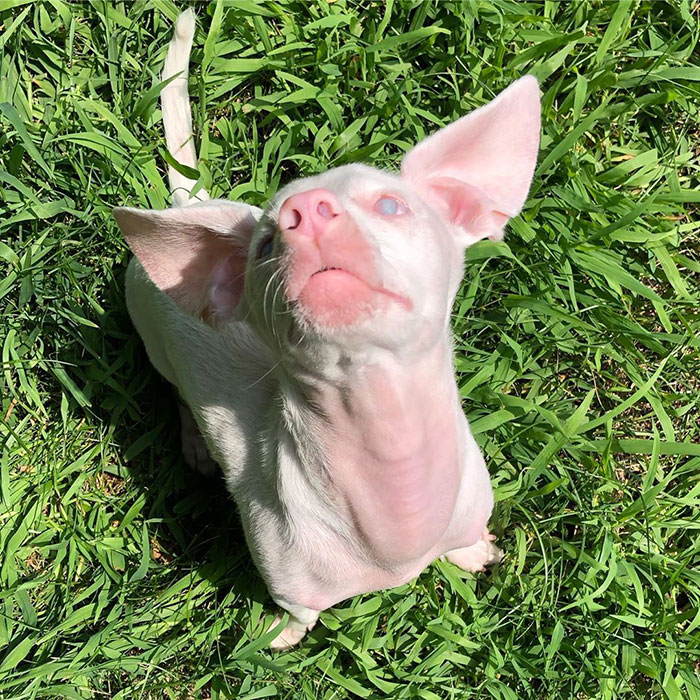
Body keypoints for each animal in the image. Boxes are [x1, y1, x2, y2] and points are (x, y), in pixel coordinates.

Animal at [113, 9, 541, 649]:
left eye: (391, 206)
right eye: (265, 245)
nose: (307, 210)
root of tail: (188, 201)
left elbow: (465, 539)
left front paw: (473, 554)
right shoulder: (292, 584)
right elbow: (301, 615)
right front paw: (273, 641)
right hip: (153, 336)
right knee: (176, 390)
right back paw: (194, 443)